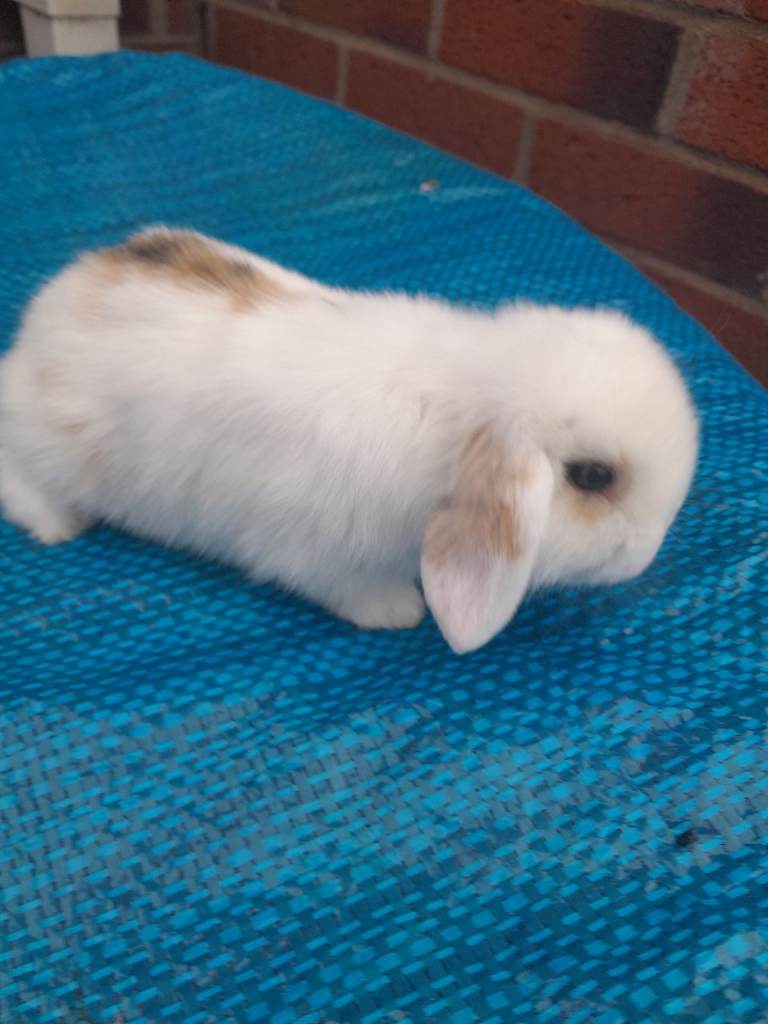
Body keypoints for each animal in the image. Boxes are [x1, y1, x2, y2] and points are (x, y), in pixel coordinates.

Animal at [0, 226, 699, 653]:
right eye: (592, 476)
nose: (646, 554)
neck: (452, 421)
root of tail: (39, 324)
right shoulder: (309, 548)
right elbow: (346, 587)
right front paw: (399, 611)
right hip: (47, 444)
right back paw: (57, 524)